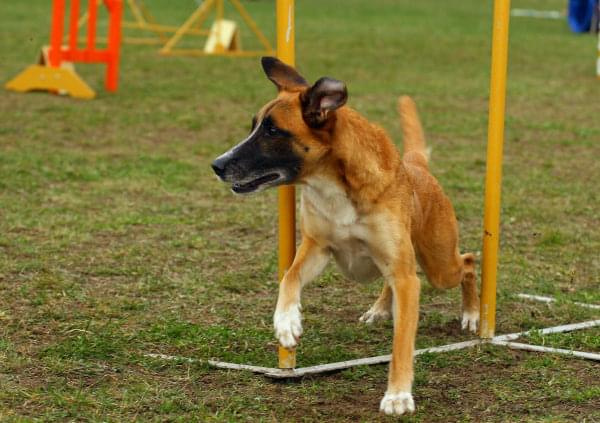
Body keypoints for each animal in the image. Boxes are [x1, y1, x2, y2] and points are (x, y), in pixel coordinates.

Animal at [211, 57, 478, 418]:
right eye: (254, 125)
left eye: (273, 131)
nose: (217, 164)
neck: (333, 183)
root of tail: (417, 167)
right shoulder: (317, 247)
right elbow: (289, 276)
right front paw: (286, 322)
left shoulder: (404, 275)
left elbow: (402, 342)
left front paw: (398, 394)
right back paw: (380, 309)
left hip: (439, 265)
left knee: (468, 263)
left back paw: (472, 314)